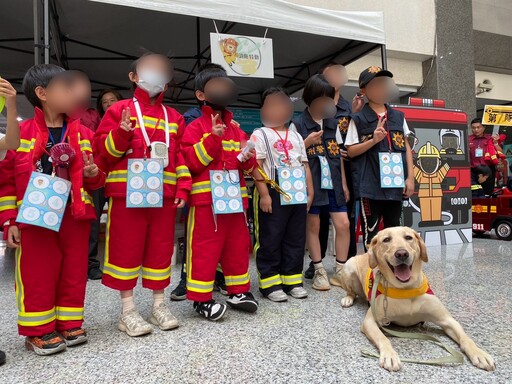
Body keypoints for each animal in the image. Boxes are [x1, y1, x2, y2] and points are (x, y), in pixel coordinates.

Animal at [338, 226, 494, 370]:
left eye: (408, 237)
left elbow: (466, 338)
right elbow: (383, 338)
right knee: (350, 291)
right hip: (349, 267)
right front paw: (389, 355)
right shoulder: (370, 322)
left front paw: (479, 353)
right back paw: (348, 299)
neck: (406, 288)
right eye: (386, 239)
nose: (401, 253)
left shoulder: (448, 320)